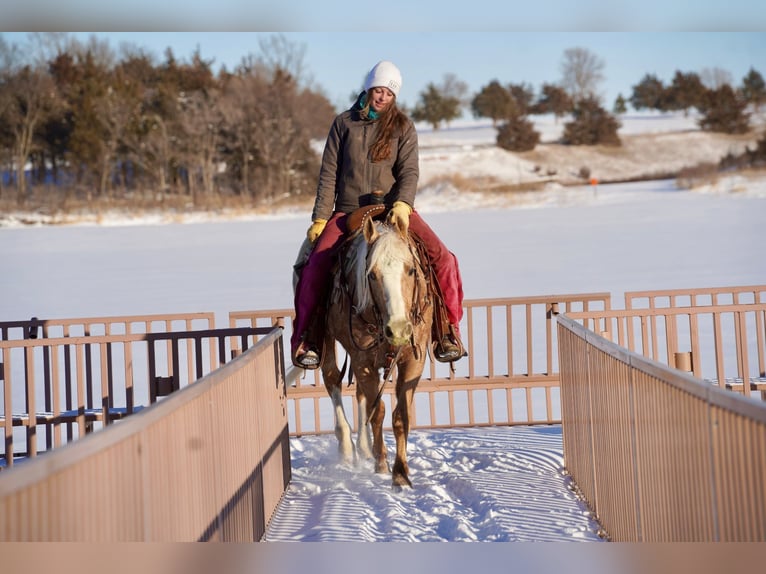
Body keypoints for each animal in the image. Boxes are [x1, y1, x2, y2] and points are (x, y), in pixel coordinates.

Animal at [320, 214, 436, 492]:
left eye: (411, 270)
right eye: (371, 275)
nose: (398, 329)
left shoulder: (413, 360)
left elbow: (401, 416)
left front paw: (401, 473)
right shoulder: (364, 361)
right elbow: (379, 412)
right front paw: (382, 463)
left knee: (360, 395)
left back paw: (364, 447)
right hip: (327, 343)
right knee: (332, 380)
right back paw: (348, 447)